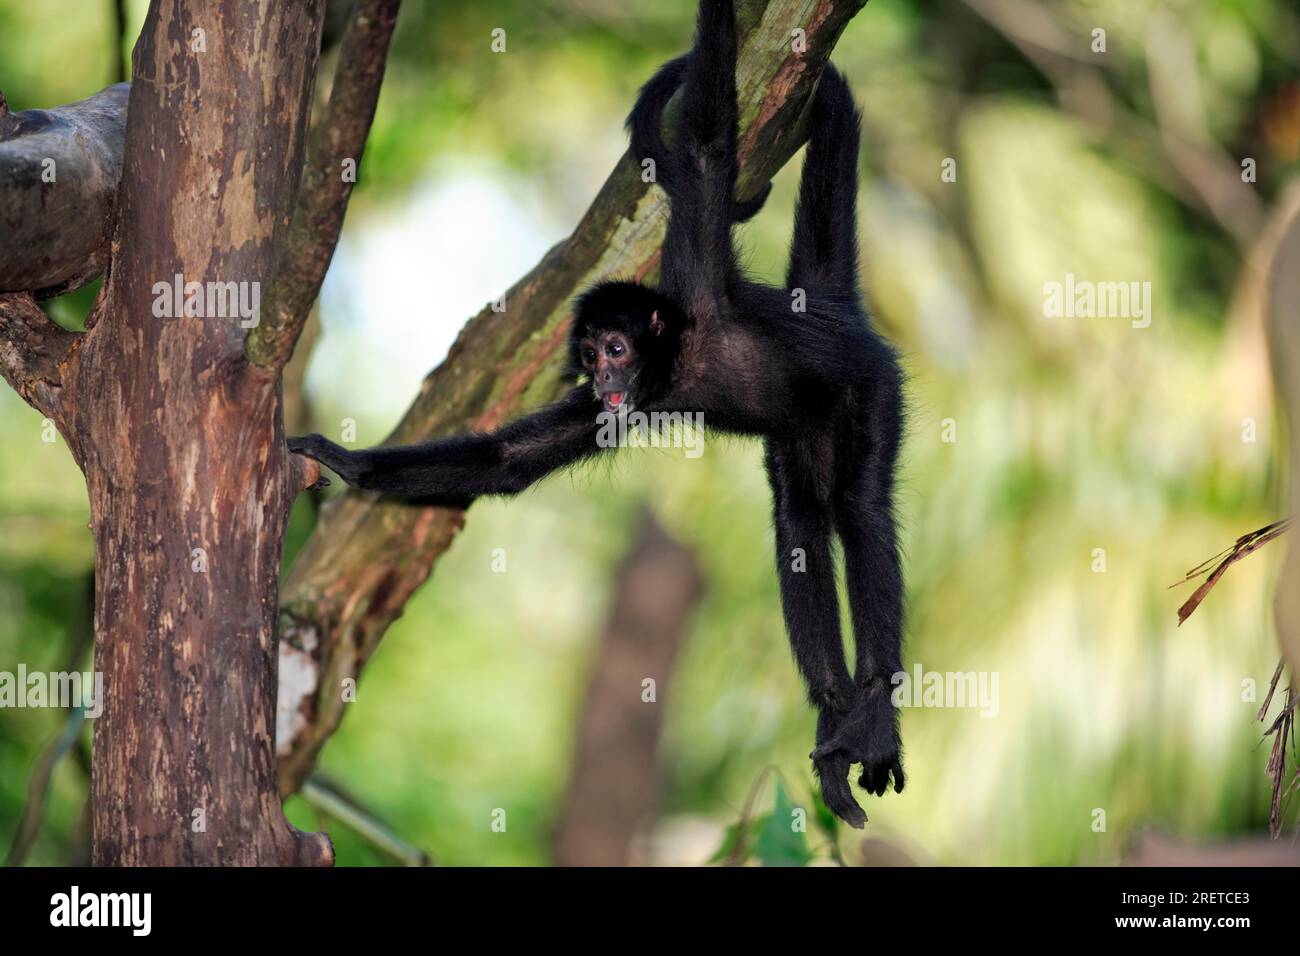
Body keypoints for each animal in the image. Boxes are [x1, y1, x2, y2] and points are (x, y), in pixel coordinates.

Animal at [291, 0, 904, 827]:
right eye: (587, 356)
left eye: (614, 347)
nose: (605, 375)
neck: (683, 358)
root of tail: (838, 311)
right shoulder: (615, 405)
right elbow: (508, 463)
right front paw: (344, 461)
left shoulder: (696, 270)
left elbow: (706, 149)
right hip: (800, 432)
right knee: (800, 519)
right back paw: (834, 716)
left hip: (868, 385)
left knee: (860, 507)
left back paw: (873, 719)